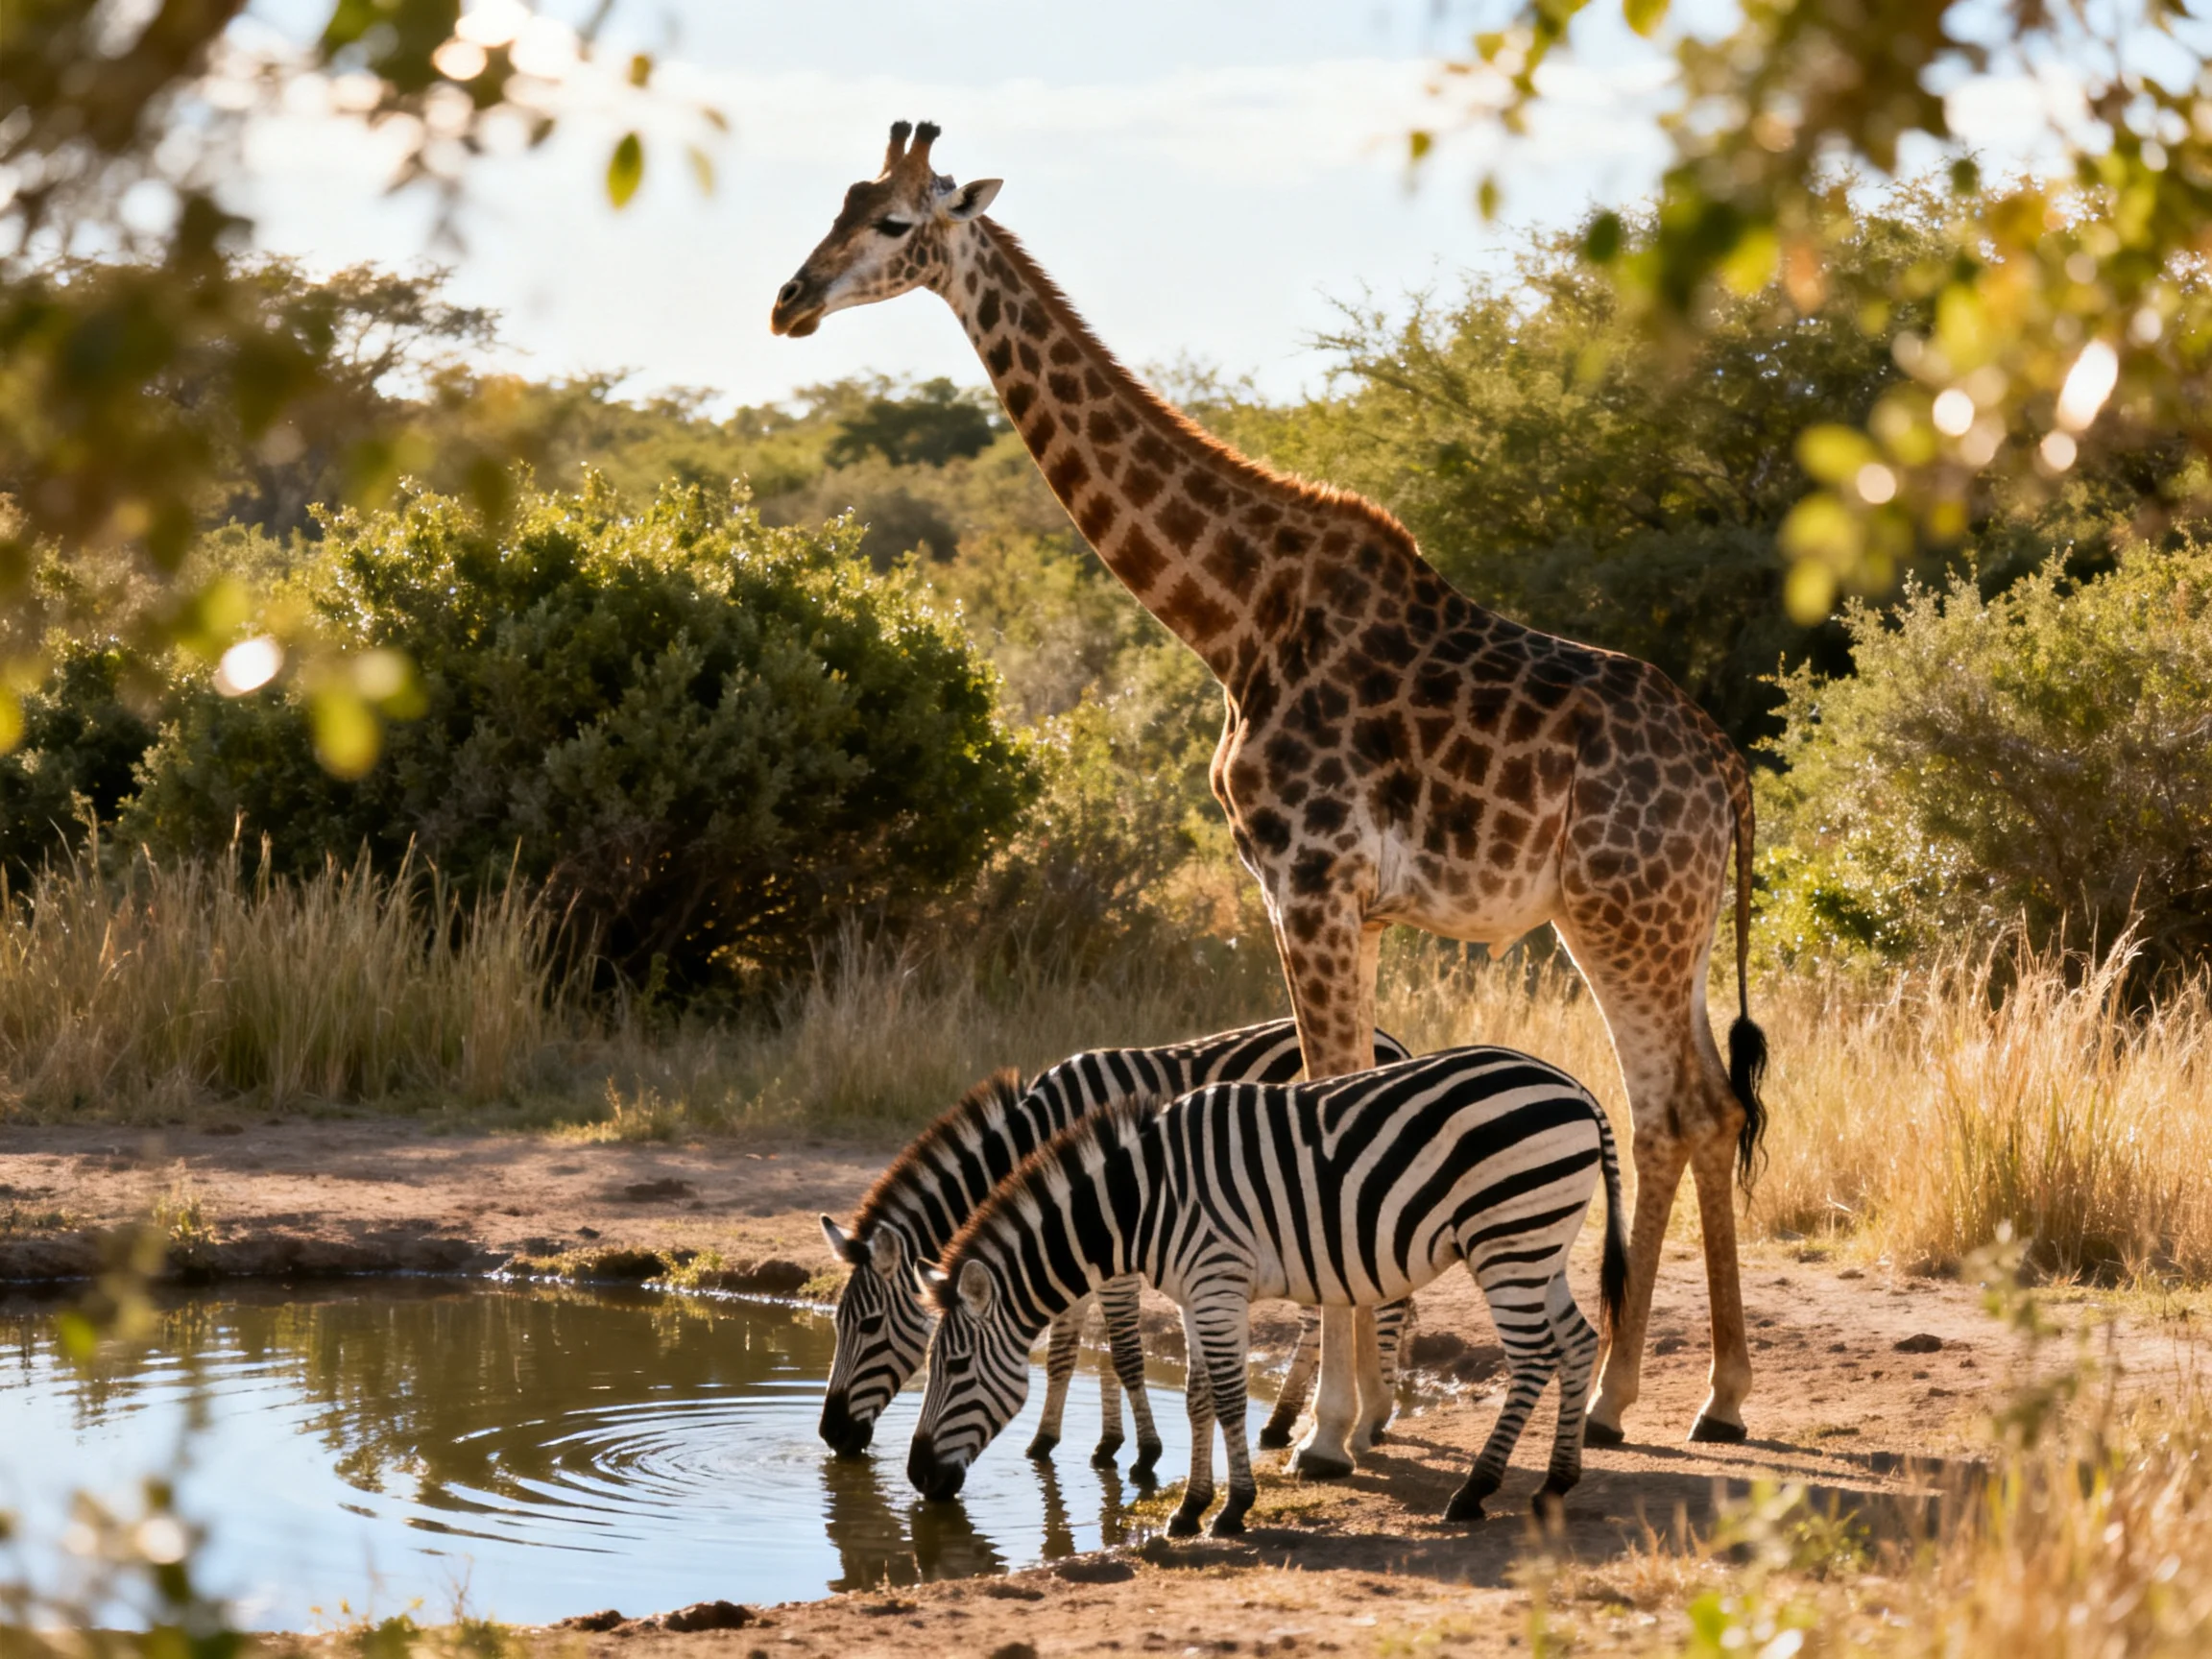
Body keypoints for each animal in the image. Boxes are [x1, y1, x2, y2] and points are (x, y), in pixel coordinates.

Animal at [816, 1018, 1411, 1472]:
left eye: (868, 1326)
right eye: (838, 1326)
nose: (830, 1435)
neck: (1039, 1133)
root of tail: (1391, 1039)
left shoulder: (1106, 1238)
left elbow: (1123, 1350)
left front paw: (1143, 1454)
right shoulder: (1075, 1239)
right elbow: (1071, 1349)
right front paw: (1074, 1443)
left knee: (1383, 1302)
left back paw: (1360, 1421)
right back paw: (1297, 1420)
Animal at [906, 1046, 1627, 1537]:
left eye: (956, 1366)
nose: (915, 1477)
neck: (1139, 1203)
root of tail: (1576, 1088)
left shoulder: (1217, 1282)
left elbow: (1227, 1397)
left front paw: (1232, 1509)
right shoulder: (1194, 1294)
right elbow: (1197, 1397)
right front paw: (1191, 1509)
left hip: (1508, 1239)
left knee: (1534, 1357)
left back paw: (1475, 1493)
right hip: (1540, 1244)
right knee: (1578, 1342)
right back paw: (1555, 1484)